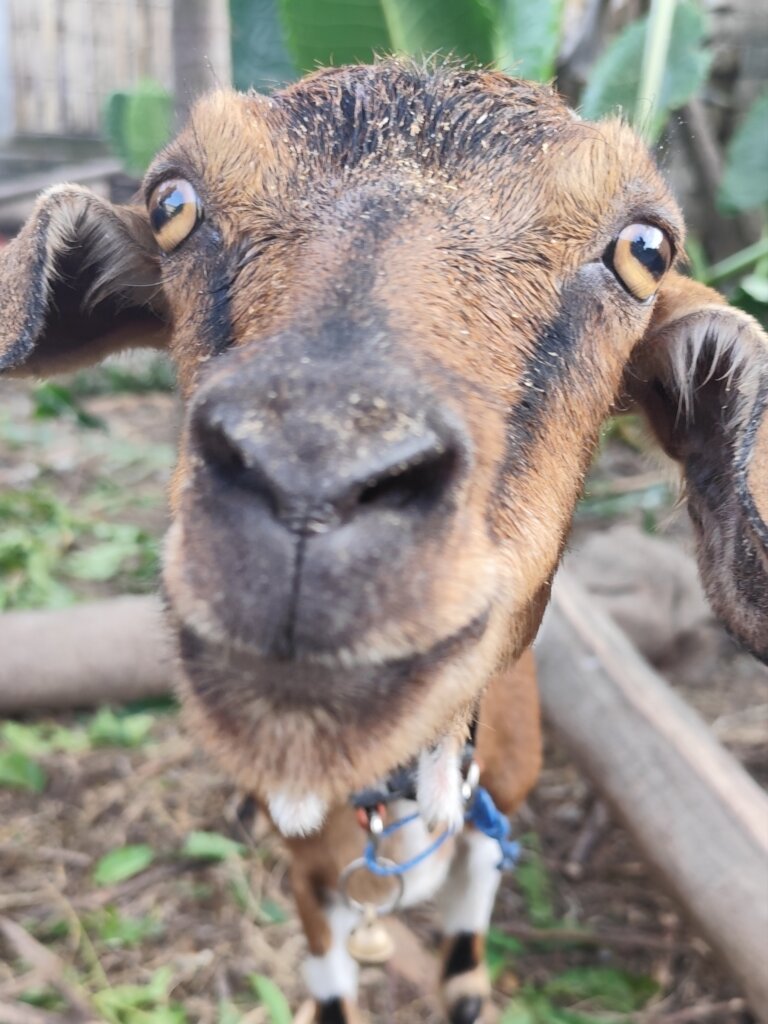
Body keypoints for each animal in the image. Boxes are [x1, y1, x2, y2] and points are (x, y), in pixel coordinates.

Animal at [2, 60, 767, 1022]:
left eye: (646, 250)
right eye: (172, 203)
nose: (311, 472)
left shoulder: (488, 835)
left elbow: (466, 979)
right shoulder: (311, 884)